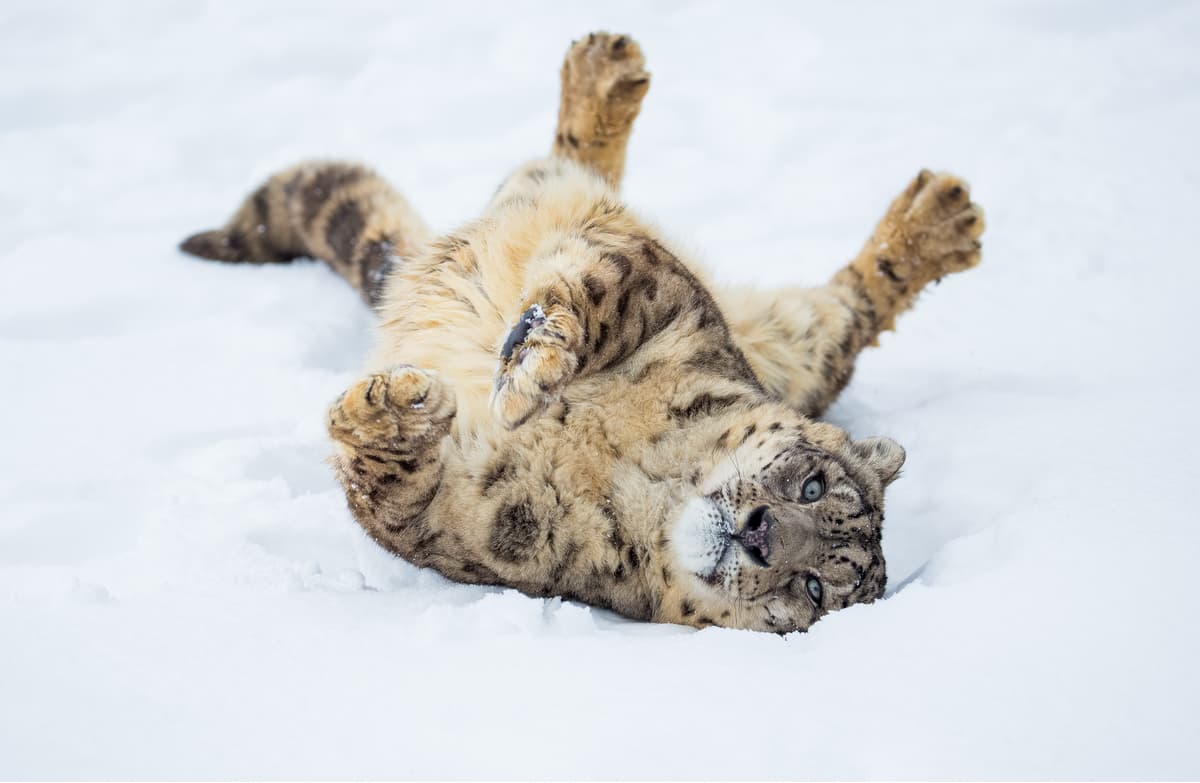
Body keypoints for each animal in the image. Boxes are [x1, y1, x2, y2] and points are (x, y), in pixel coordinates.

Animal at [180, 32, 984, 633]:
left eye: (814, 587)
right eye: (813, 485)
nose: (760, 533)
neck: (641, 472)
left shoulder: (471, 528)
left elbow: (392, 495)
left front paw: (407, 411)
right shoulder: (668, 295)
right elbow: (597, 289)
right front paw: (524, 371)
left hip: (801, 348)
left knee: (849, 315)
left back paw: (941, 222)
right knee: (566, 170)